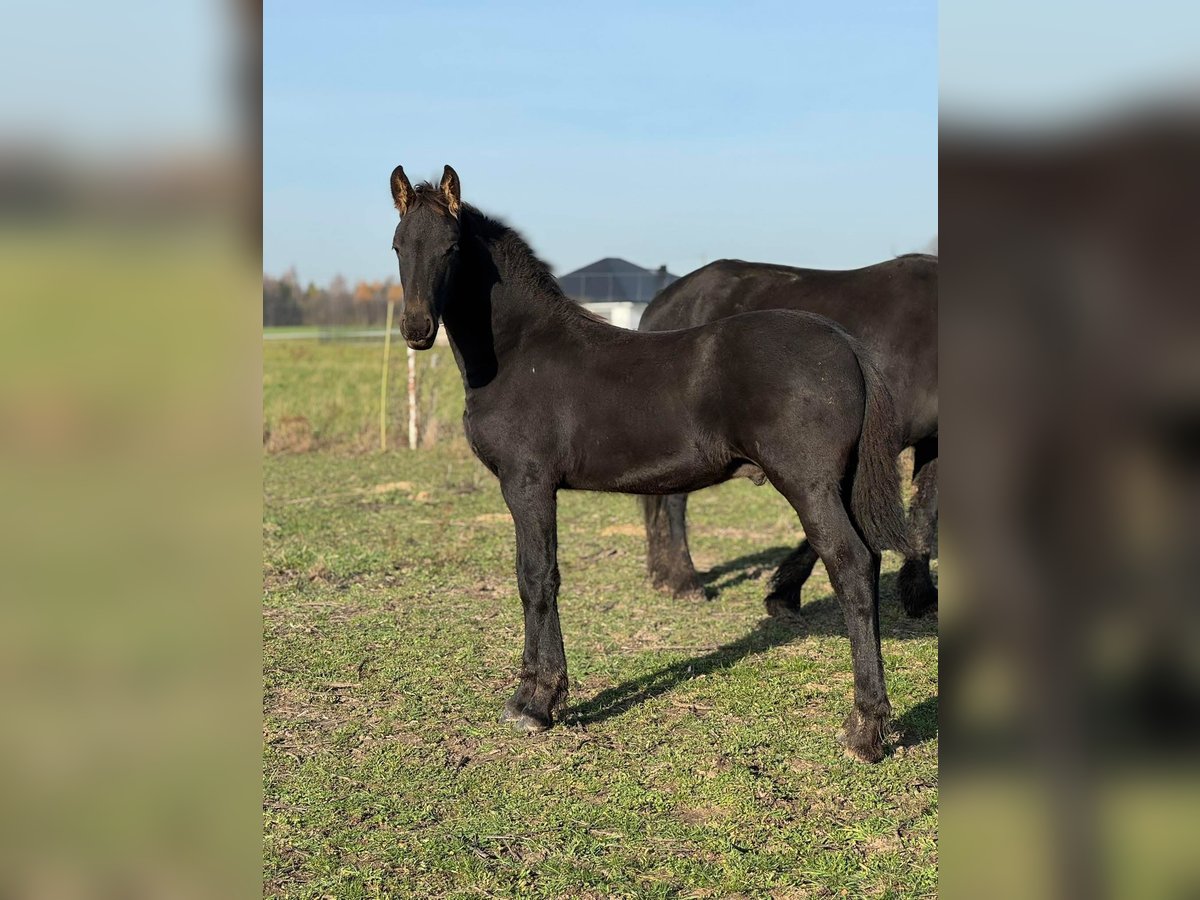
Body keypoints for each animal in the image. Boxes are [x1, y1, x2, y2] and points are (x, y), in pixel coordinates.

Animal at [639, 256, 938, 617]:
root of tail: (661, 302)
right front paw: (783, 592)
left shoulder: (930, 443)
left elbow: (924, 512)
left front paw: (921, 594)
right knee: (674, 502)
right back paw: (685, 581)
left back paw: (662, 575)